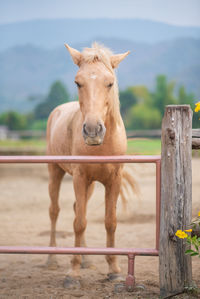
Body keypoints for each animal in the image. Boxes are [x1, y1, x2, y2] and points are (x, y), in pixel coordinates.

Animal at [46, 42, 130, 284]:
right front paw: (73, 272)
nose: (93, 130)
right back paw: (51, 259)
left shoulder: (113, 180)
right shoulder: (80, 178)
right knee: (54, 211)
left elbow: (110, 222)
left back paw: (87, 259)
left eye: (110, 82)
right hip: (55, 172)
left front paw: (114, 269)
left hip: (90, 184)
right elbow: (79, 223)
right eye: (78, 82)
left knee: (76, 208)